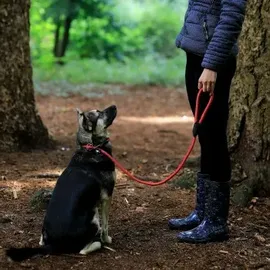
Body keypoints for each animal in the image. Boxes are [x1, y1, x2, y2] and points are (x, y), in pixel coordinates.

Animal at [6, 104, 117, 260]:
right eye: (100, 113)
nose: (114, 106)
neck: (91, 147)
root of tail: (53, 245)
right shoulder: (107, 198)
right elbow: (106, 225)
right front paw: (107, 239)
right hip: (93, 218)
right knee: (84, 249)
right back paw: (99, 243)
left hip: (46, 231)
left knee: (41, 240)